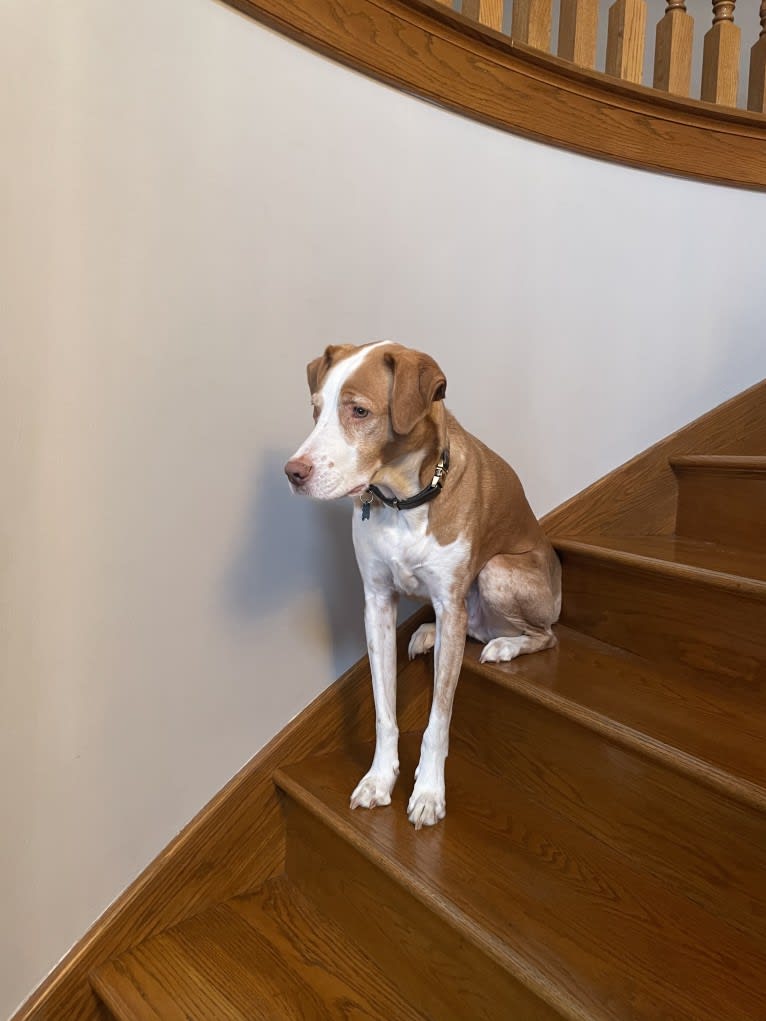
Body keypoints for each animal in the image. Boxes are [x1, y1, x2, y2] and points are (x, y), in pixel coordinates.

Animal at [285, 343, 559, 829]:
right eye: (316, 411)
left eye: (359, 411)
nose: (292, 472)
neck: (403, 500)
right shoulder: (376, 602)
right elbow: (384, 710)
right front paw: (379, 779)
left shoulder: (450, 602)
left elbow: (438, 720)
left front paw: (429, 791)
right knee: (476, 628)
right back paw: (429, 634)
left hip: (497, 572)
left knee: (543, 635)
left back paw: (505, 647)